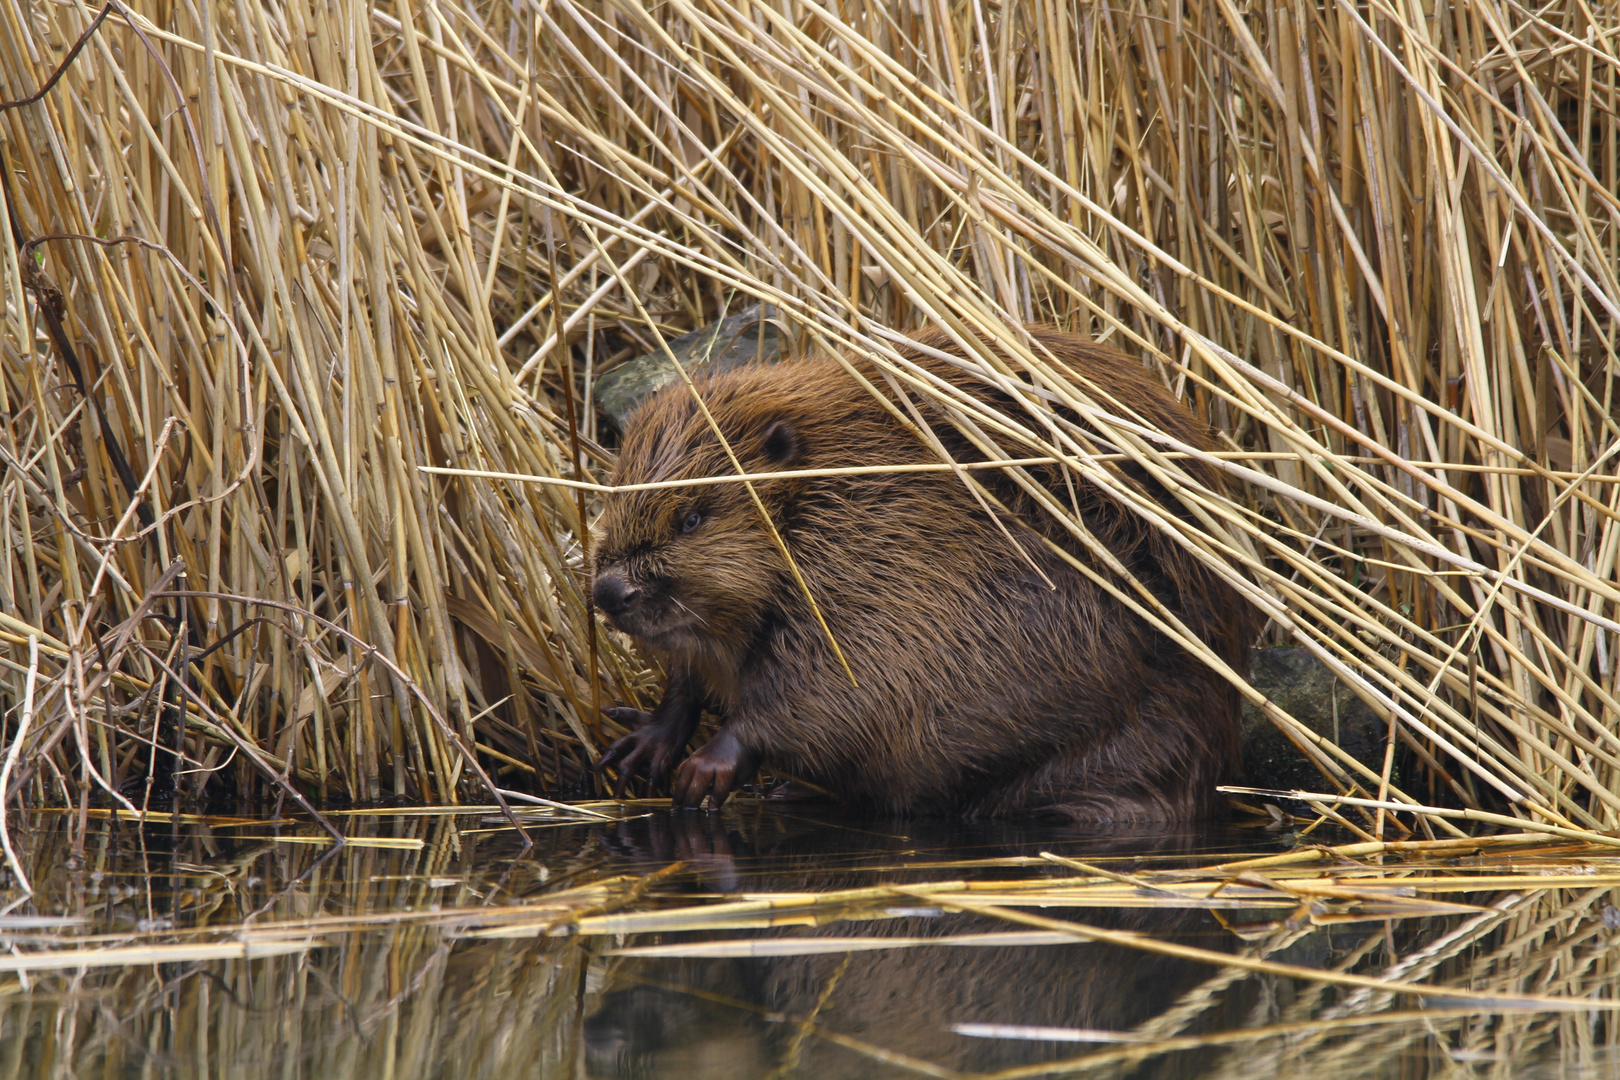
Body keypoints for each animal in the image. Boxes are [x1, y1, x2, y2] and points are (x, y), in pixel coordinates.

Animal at [596, 325, 1263, 822]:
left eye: (692, 517)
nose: (608, 591)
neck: (828, 491)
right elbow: (691, 675)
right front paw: (641, 744)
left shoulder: (869, 578)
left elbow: (824, 694)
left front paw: (702, 770)